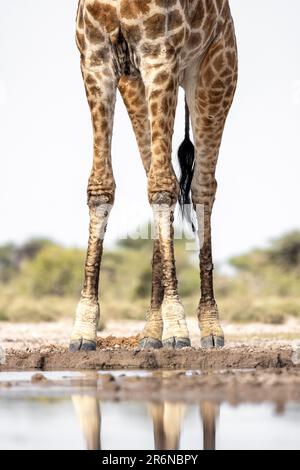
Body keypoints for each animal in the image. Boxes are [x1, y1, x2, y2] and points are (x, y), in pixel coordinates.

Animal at [69, 0, 238, 352]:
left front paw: (178, 328)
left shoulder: (160, 57)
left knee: (202, 187)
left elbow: (163, 187)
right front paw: (82, 330)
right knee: (163, 175)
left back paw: (210, 326)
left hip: (216, 75)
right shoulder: (95, 60)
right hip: (134, 85)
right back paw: (150, 331)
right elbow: (101, 187)